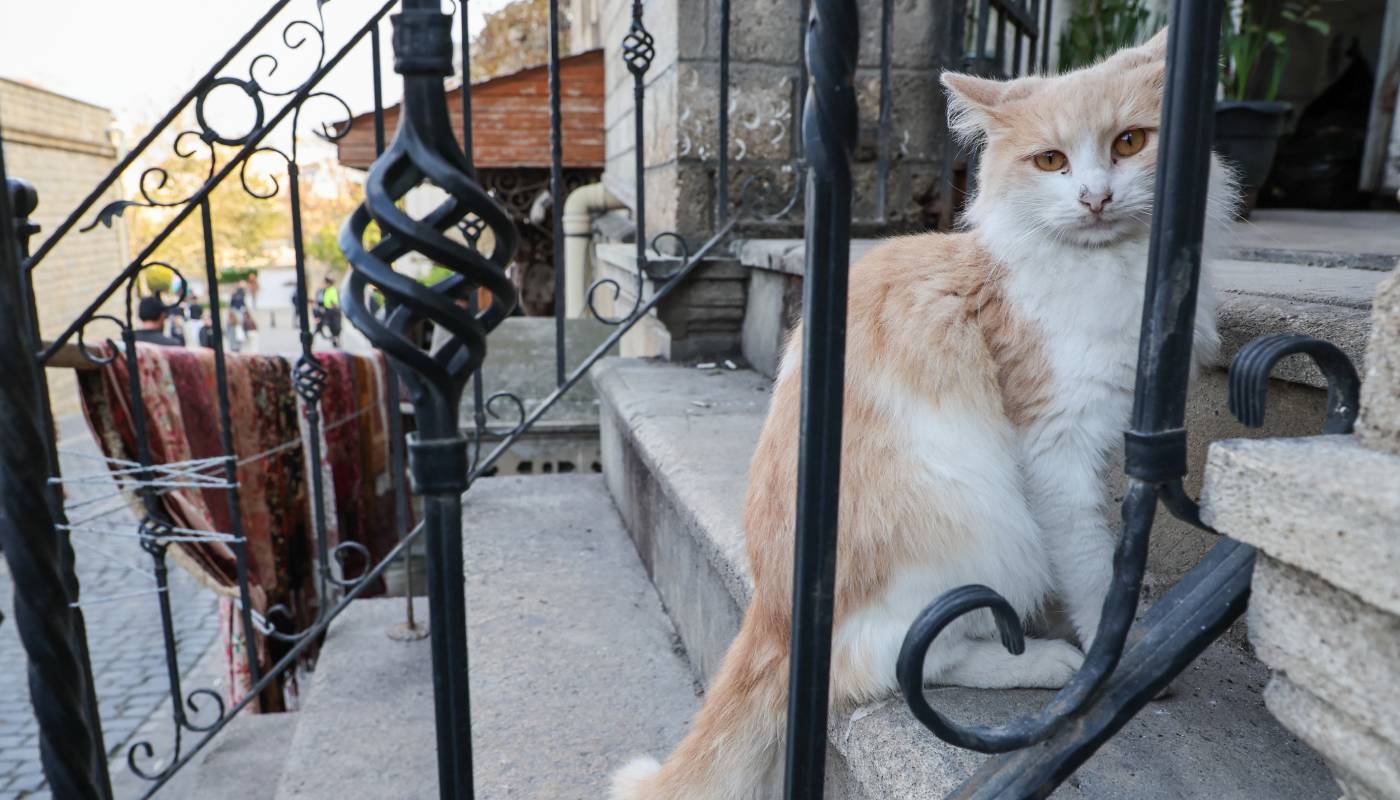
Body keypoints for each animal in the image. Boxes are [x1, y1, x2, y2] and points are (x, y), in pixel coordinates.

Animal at [612, 28, 1235, 800]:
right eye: (1051, 161)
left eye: (1129, 143)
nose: (1095, 197)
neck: (1108, 274)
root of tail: (774, 615)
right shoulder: (1053, 444)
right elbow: (1094, 565)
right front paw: (1111, 657)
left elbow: (1102, 549)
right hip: (979, 529)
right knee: (899, 665)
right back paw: (1043, 660)